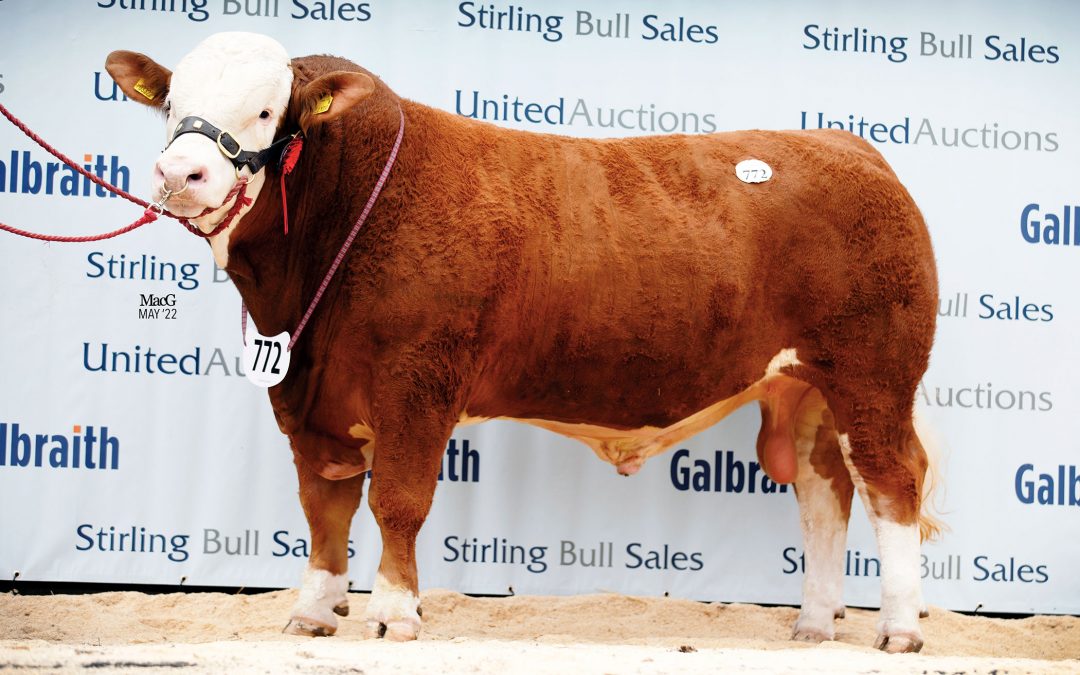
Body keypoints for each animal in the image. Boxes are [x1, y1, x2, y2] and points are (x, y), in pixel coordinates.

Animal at [105, 32, 941, 652]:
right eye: (171, 101)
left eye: (264, 110)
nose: (178, 172)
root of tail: (849, 147)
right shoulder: (310, 397)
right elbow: (324, 504)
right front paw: (312, 610)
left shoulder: (418, 378)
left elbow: (397, 498)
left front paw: (395, 611)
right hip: (805, 388)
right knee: (825, 491)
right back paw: (814, 623)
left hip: (874, 375)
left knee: (891, 482)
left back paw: (897, 628)